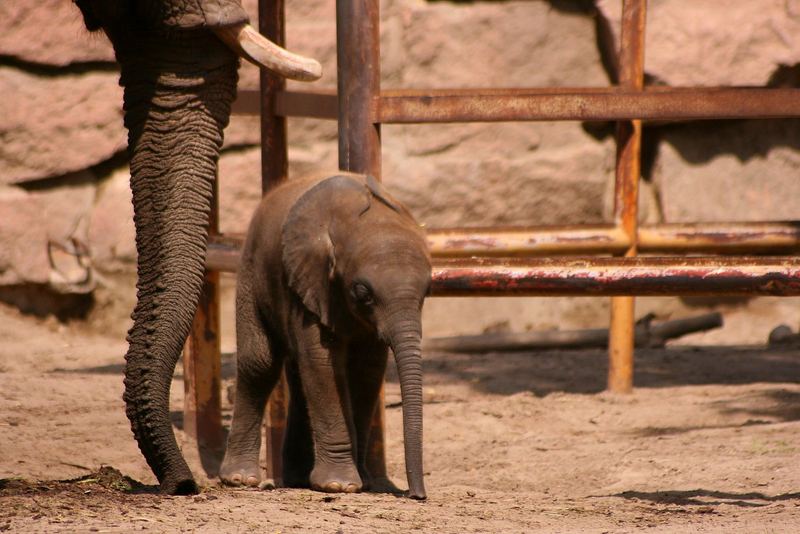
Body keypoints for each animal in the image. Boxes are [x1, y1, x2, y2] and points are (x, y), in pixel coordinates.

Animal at [219, 174, 432, 500]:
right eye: (362, 292)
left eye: (428, 290)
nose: (417, 495)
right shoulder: (311, 282)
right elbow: (323, 364)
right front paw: (338, 485)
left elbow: (366, 371)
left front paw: (362, 483)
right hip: (252, 270)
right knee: (260, 363)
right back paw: (240, 479)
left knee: (297, 376)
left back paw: (297, 479)